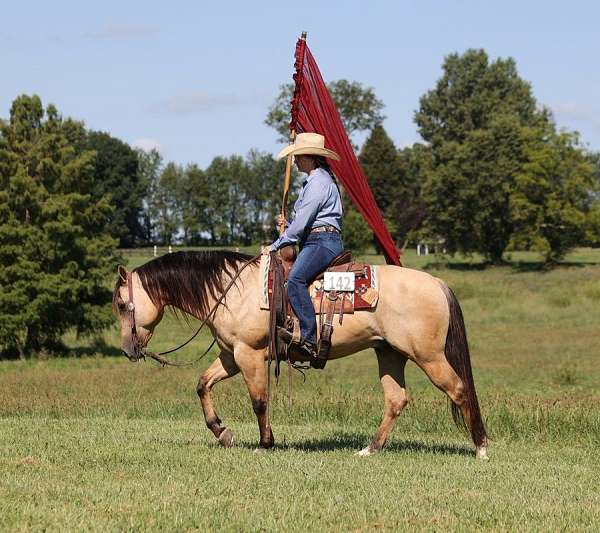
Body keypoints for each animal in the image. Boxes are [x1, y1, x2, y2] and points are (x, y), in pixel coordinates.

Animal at [112, 249, 488, 458]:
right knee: (396, 399)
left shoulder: (249, 354)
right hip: (390, 353)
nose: (129, 349)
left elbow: (259, 401)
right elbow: (203, 384)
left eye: (120, 304)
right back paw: (370, 448)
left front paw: (265, 443)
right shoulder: (232, 355)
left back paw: (481, 447)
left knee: (459, 390)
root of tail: (437, 283)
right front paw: (222, 432)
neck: (233, 290)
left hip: (429, 356)